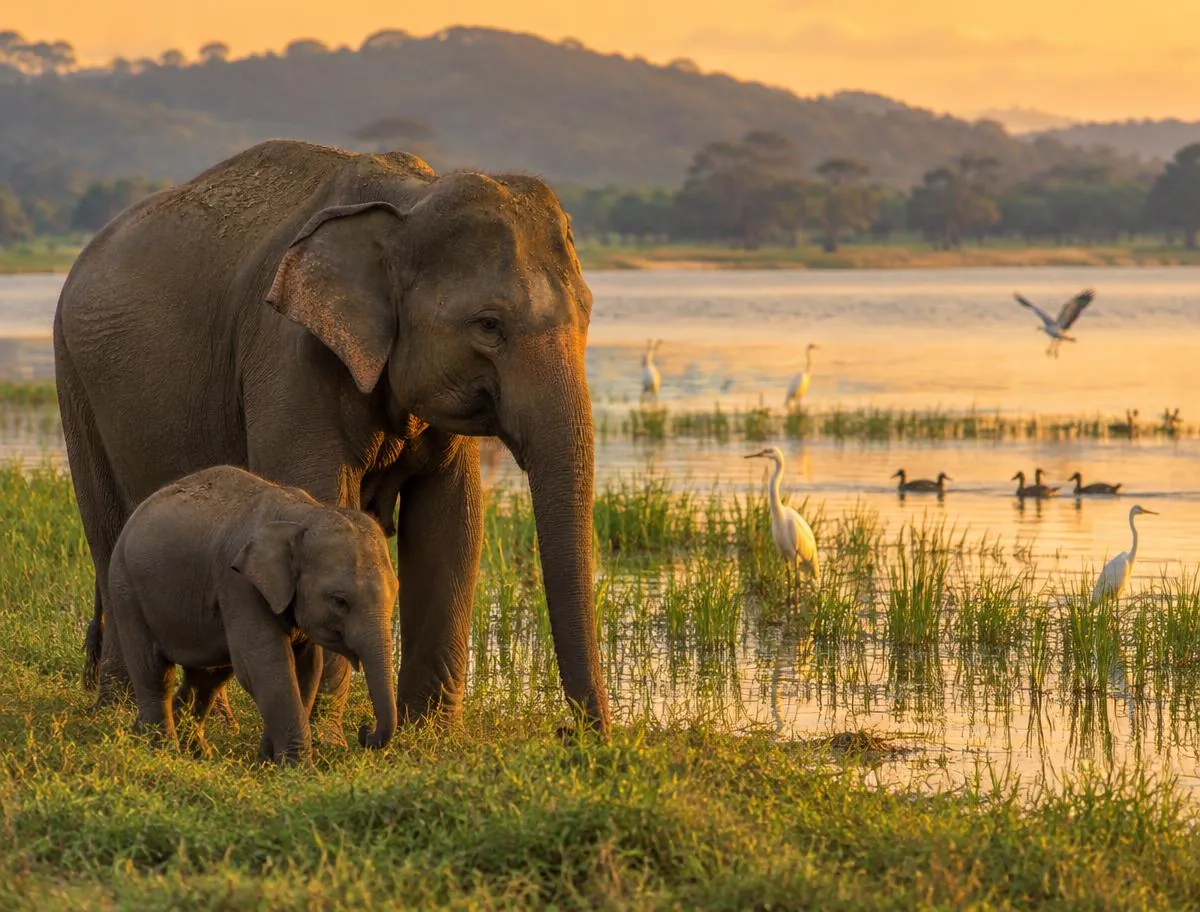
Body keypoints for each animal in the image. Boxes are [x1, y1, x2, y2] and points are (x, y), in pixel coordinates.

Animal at [107, 466, 398, 764]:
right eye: (340, 601)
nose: (365, 732)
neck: (303, 515)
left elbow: (307, 668)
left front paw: (268, 761)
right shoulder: (239, 585)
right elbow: (265, 665)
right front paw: (297, 767)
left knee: (207, 677)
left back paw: (180, 747)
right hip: (125, 588)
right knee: (155, 672)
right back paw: (163, 750)